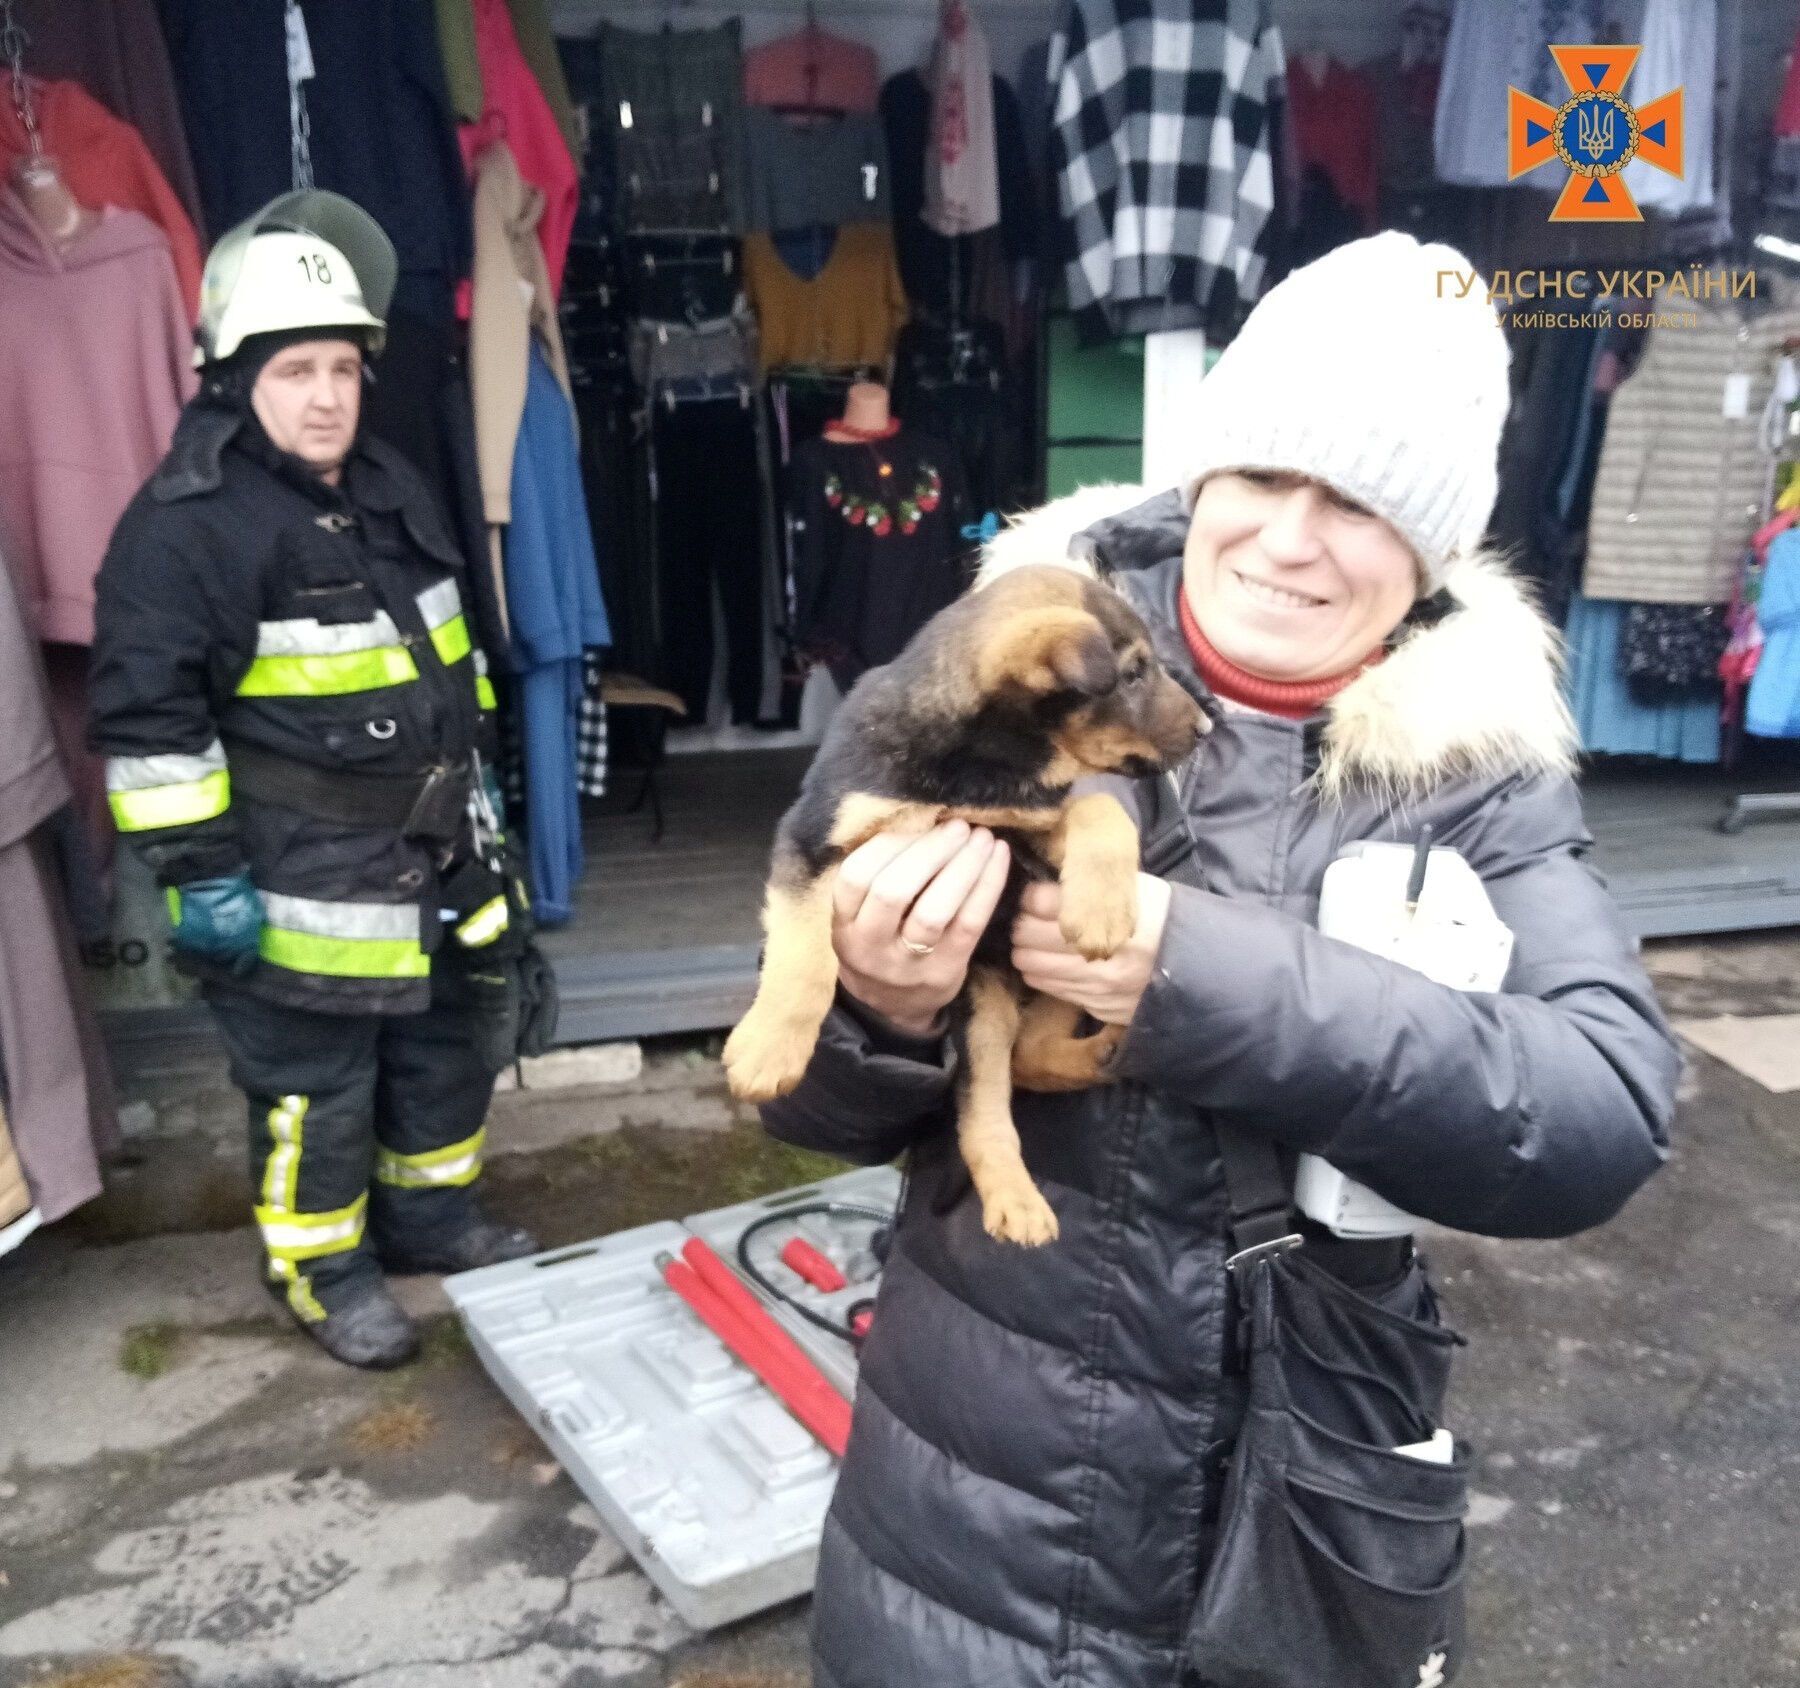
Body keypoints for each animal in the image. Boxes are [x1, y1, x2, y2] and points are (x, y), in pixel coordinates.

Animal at [720, 561, 1209, 1238]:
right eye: (1133, 673)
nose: (1207, 727)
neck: (979, 763)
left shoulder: (1030, 829)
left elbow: (1101, 809)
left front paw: (1102, 909)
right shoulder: (811, 841)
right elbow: (806, 964)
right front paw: (769, 1052)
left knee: (1018, 1071)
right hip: (984, 1002)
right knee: (1001, 1087)